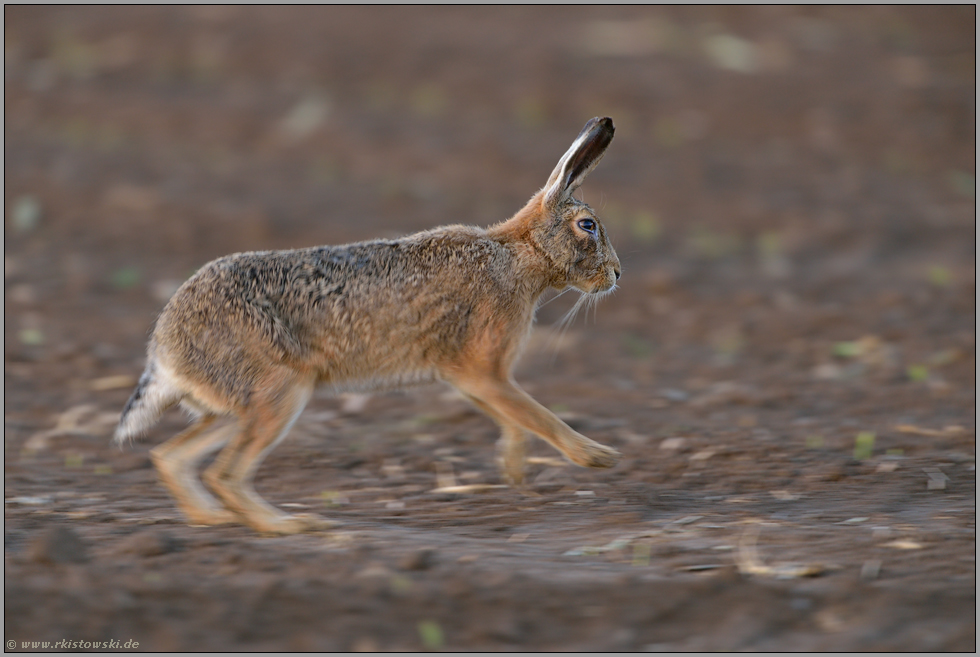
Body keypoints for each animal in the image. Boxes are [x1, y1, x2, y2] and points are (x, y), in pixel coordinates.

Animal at [114, 116, 622, 534]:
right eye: (588, 225)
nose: (617, 274)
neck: (519, 255)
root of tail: (164, 348)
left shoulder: (473, 378)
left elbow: (514, 418)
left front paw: (514, 471)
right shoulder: (481, 369)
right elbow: (537, 414)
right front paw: (596, 457)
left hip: (235, 406)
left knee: (169, 456)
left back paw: (212, 520)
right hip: (279, 391)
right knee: (224, 474)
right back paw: (289, 526)